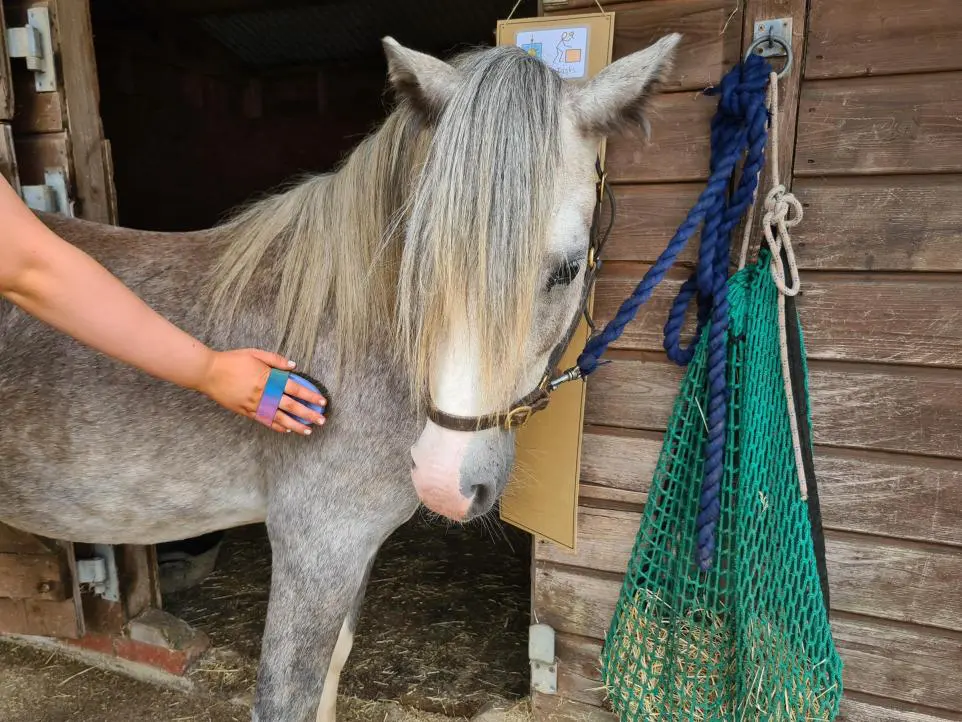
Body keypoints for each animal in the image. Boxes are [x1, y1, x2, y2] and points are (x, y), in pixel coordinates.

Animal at [0, 34, 679, 721]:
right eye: (419, 261)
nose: (445, 480)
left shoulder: (356, 549)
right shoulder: (318, 546)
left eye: (565, 271)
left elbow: (333, 668)